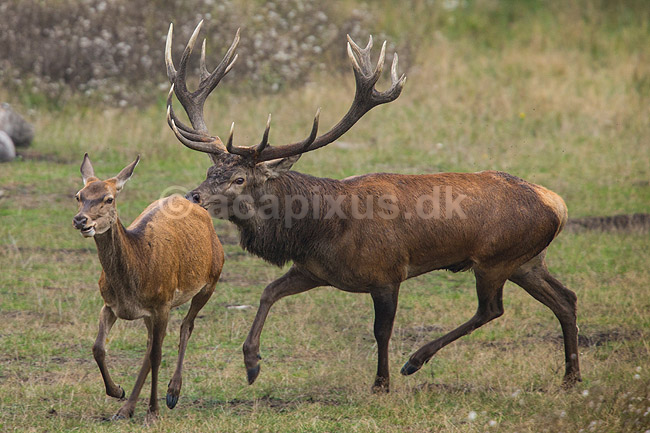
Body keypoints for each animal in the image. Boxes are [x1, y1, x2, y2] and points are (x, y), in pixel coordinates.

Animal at [72, 154, 224, 421]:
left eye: (109, 198)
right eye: (79, 196)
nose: (81, 220)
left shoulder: (162, 304)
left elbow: (157, 355)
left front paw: (153, 410)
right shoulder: (109, 305)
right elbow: (98, 348)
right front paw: (117, 391)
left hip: (211, 280)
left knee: (186, 327)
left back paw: (172, 393)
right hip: (150, 313)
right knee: (151, 342)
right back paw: (126, 408)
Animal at [164, 21, 581, 393]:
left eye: (239, 179)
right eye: (210, 169)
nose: (193, 198)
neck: (319, 230)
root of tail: (556, 203)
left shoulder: (387, 273)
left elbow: (381, 330)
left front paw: (381, 383)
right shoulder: (314, 270)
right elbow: (269, 291)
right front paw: (251, 363)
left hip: (496, 258)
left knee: (491, 308)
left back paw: (415, 360)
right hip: (526, 260)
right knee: (565, 299)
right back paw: (571, 376)